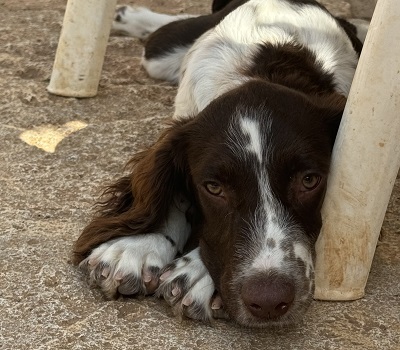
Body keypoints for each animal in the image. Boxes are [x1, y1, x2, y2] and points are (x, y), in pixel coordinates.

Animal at [72, 0, 368, 328]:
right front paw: (138, 245)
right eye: (214, 188)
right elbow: (172, 193)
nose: (269, 301)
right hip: (158, 53)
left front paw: (197, 273)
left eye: (309, 180)